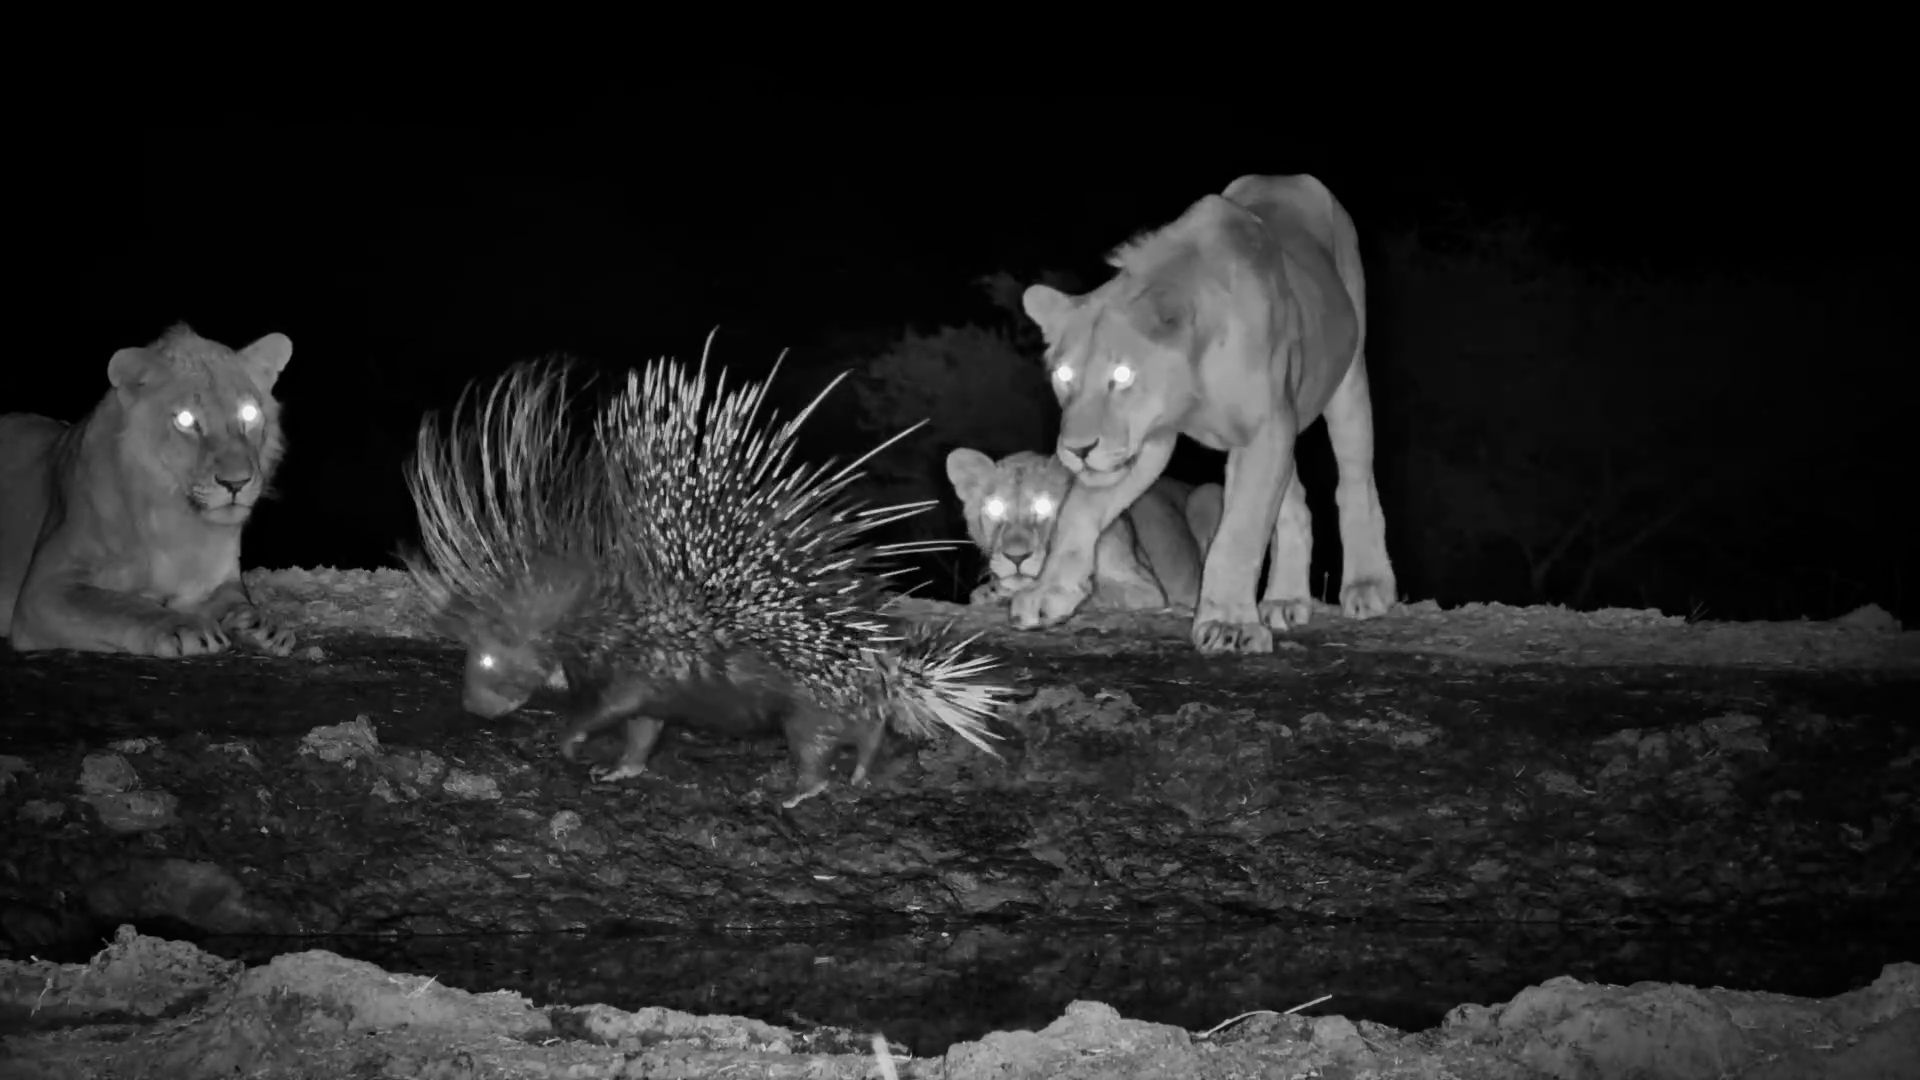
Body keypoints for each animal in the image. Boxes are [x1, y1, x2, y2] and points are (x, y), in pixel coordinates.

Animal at [0, 324, 297, 657]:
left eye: (248, 413)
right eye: (185, 419)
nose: (236, 483)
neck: (179, 522)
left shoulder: (214, 583)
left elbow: (237, 601)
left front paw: (262, 626)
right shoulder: (44, 589)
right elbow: (118, 605)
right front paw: (185, 626)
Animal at [946, 447, 1223, 613]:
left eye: (1044, 505)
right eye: (994, 508)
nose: (1016, 557)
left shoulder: (1146, 589)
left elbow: (1094, 594)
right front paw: (990, 591)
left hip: (1205, 494)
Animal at [1011, 174, 1398, 655]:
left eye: (1122, 374)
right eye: (1063, 375)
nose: (1077, 450)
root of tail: (1285, 176)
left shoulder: (1264, 428)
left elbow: (1238, 532)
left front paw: (1229, 623)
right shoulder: (1151, 440)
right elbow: (1078, 509)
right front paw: (1049, 593)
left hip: (1347, 378)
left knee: (1355, 483)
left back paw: (1367, 584)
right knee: (1294, 504)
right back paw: (1285, 598)